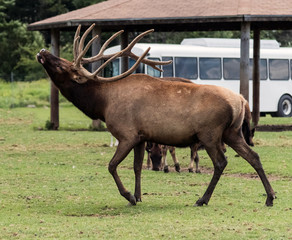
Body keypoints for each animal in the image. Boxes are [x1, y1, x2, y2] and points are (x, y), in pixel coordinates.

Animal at [37, 23, 276, 206]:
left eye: (65, 66)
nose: (43, 52)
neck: (102, 105)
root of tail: (242, 101)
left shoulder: (127, 133)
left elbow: (112, 165)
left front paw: (129, 196)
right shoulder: (142, 137)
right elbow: (137, 167)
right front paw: (139, 196)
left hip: (210, 133)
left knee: (221, 162)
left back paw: (202, 199)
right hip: (233, 132)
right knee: (253, 156)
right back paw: (270, 197)